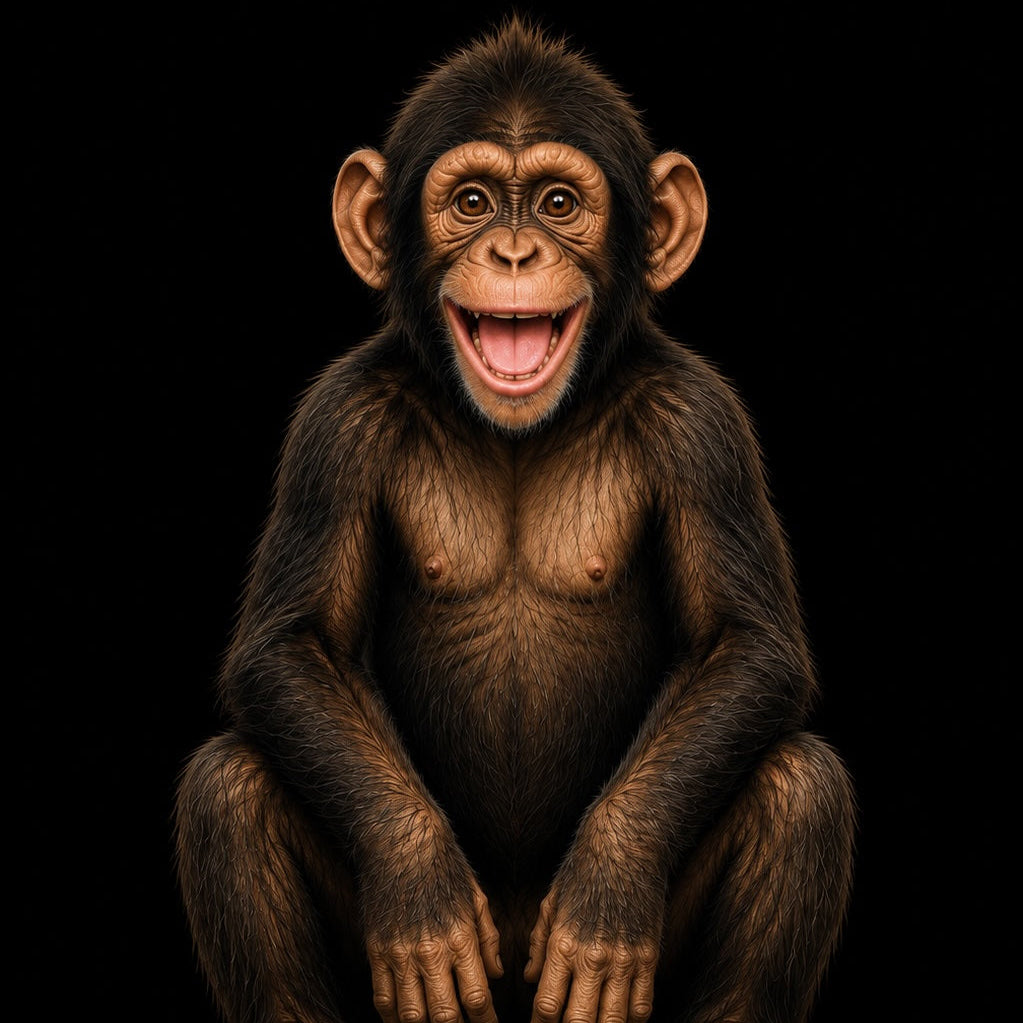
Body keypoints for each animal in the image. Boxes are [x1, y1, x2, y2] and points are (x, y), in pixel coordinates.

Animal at [175, 17, 855, 1023]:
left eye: (559, 202)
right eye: (470, 201)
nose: (513, 253)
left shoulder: (702, 426)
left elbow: (744, 641)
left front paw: (608, 887)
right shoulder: (336, 427)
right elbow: (292, 642)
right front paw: (417, 883)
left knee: (799, 793)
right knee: (229, 793)